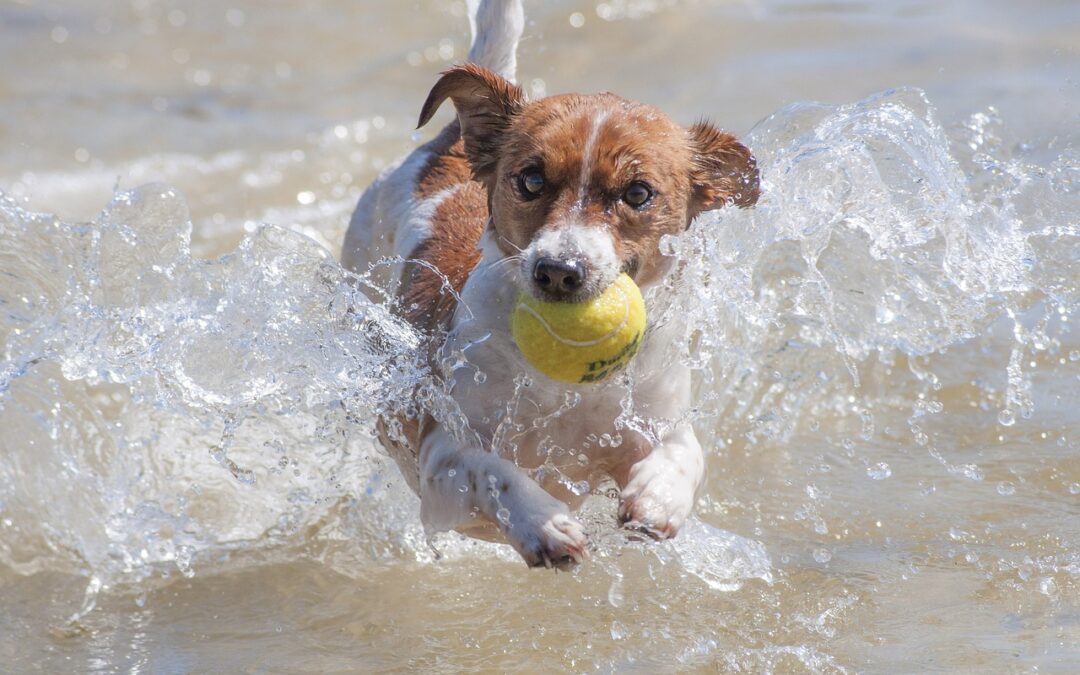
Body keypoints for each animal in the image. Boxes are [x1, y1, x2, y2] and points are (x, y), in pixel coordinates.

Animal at [339, 0, 760, 570]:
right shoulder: (440, 457)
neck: (569, 390)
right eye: (531, 179)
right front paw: (542, 523)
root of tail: (449, 143)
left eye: (638, 193)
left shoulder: (656, 420)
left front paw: (658, 497)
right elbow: (491, 470)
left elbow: (683, 453)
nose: (560, 269)